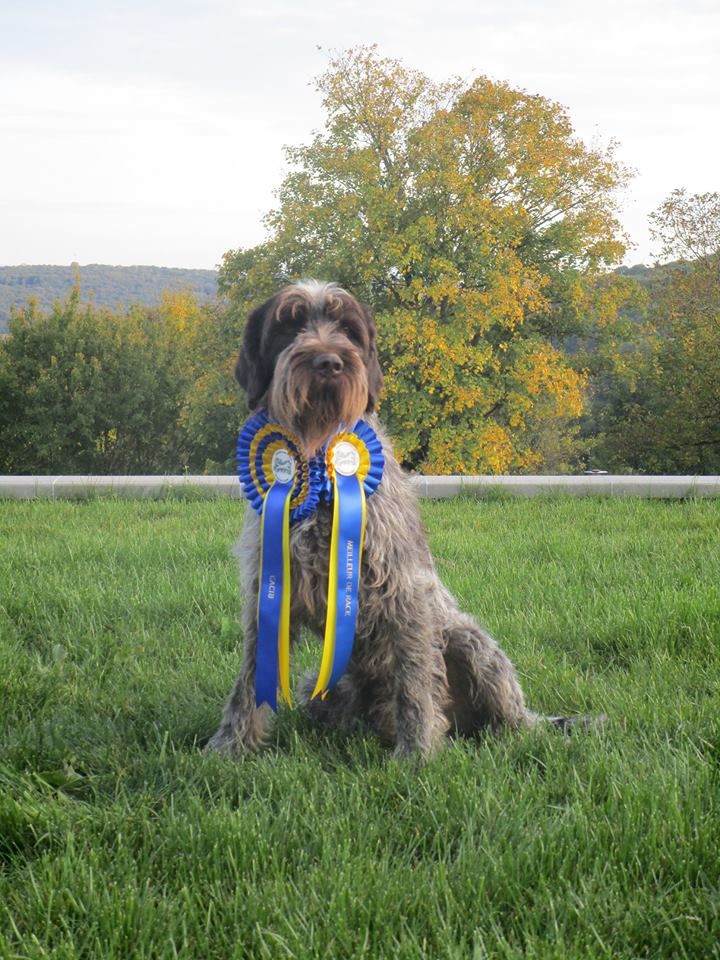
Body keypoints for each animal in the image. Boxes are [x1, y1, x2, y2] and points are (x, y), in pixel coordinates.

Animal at [207, 281, 581, 759]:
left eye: (348, 329)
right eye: (289, 325)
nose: (329, 363)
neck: (320, 463)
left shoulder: (400, 589)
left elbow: (415, 678)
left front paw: (417, 753)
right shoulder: (270, 590)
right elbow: (250, 681)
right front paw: (228, 747)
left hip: (471, 643)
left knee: (508, 720)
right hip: (319, 687)